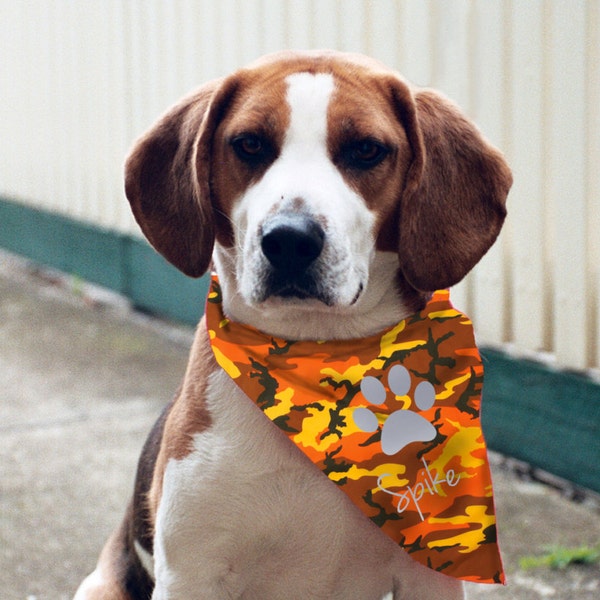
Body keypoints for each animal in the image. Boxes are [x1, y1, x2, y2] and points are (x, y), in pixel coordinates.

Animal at [76, 51, 510, 600]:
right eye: (249, 144)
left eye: (366, 149)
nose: (289, 240)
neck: (319, 354)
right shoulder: (192, 573)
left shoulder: (429, 577)